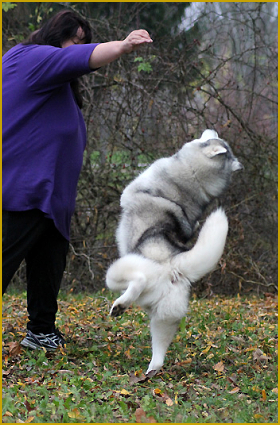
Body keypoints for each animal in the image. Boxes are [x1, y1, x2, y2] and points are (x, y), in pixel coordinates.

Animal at [105, 128, 243, 372]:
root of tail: (176, 267)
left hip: (116, 272)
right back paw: (150, 371)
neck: (193, 176)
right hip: (163, 320)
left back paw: (120, 306)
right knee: (159, 354)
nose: (211, 130)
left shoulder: (130, 191)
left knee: (136, 281)